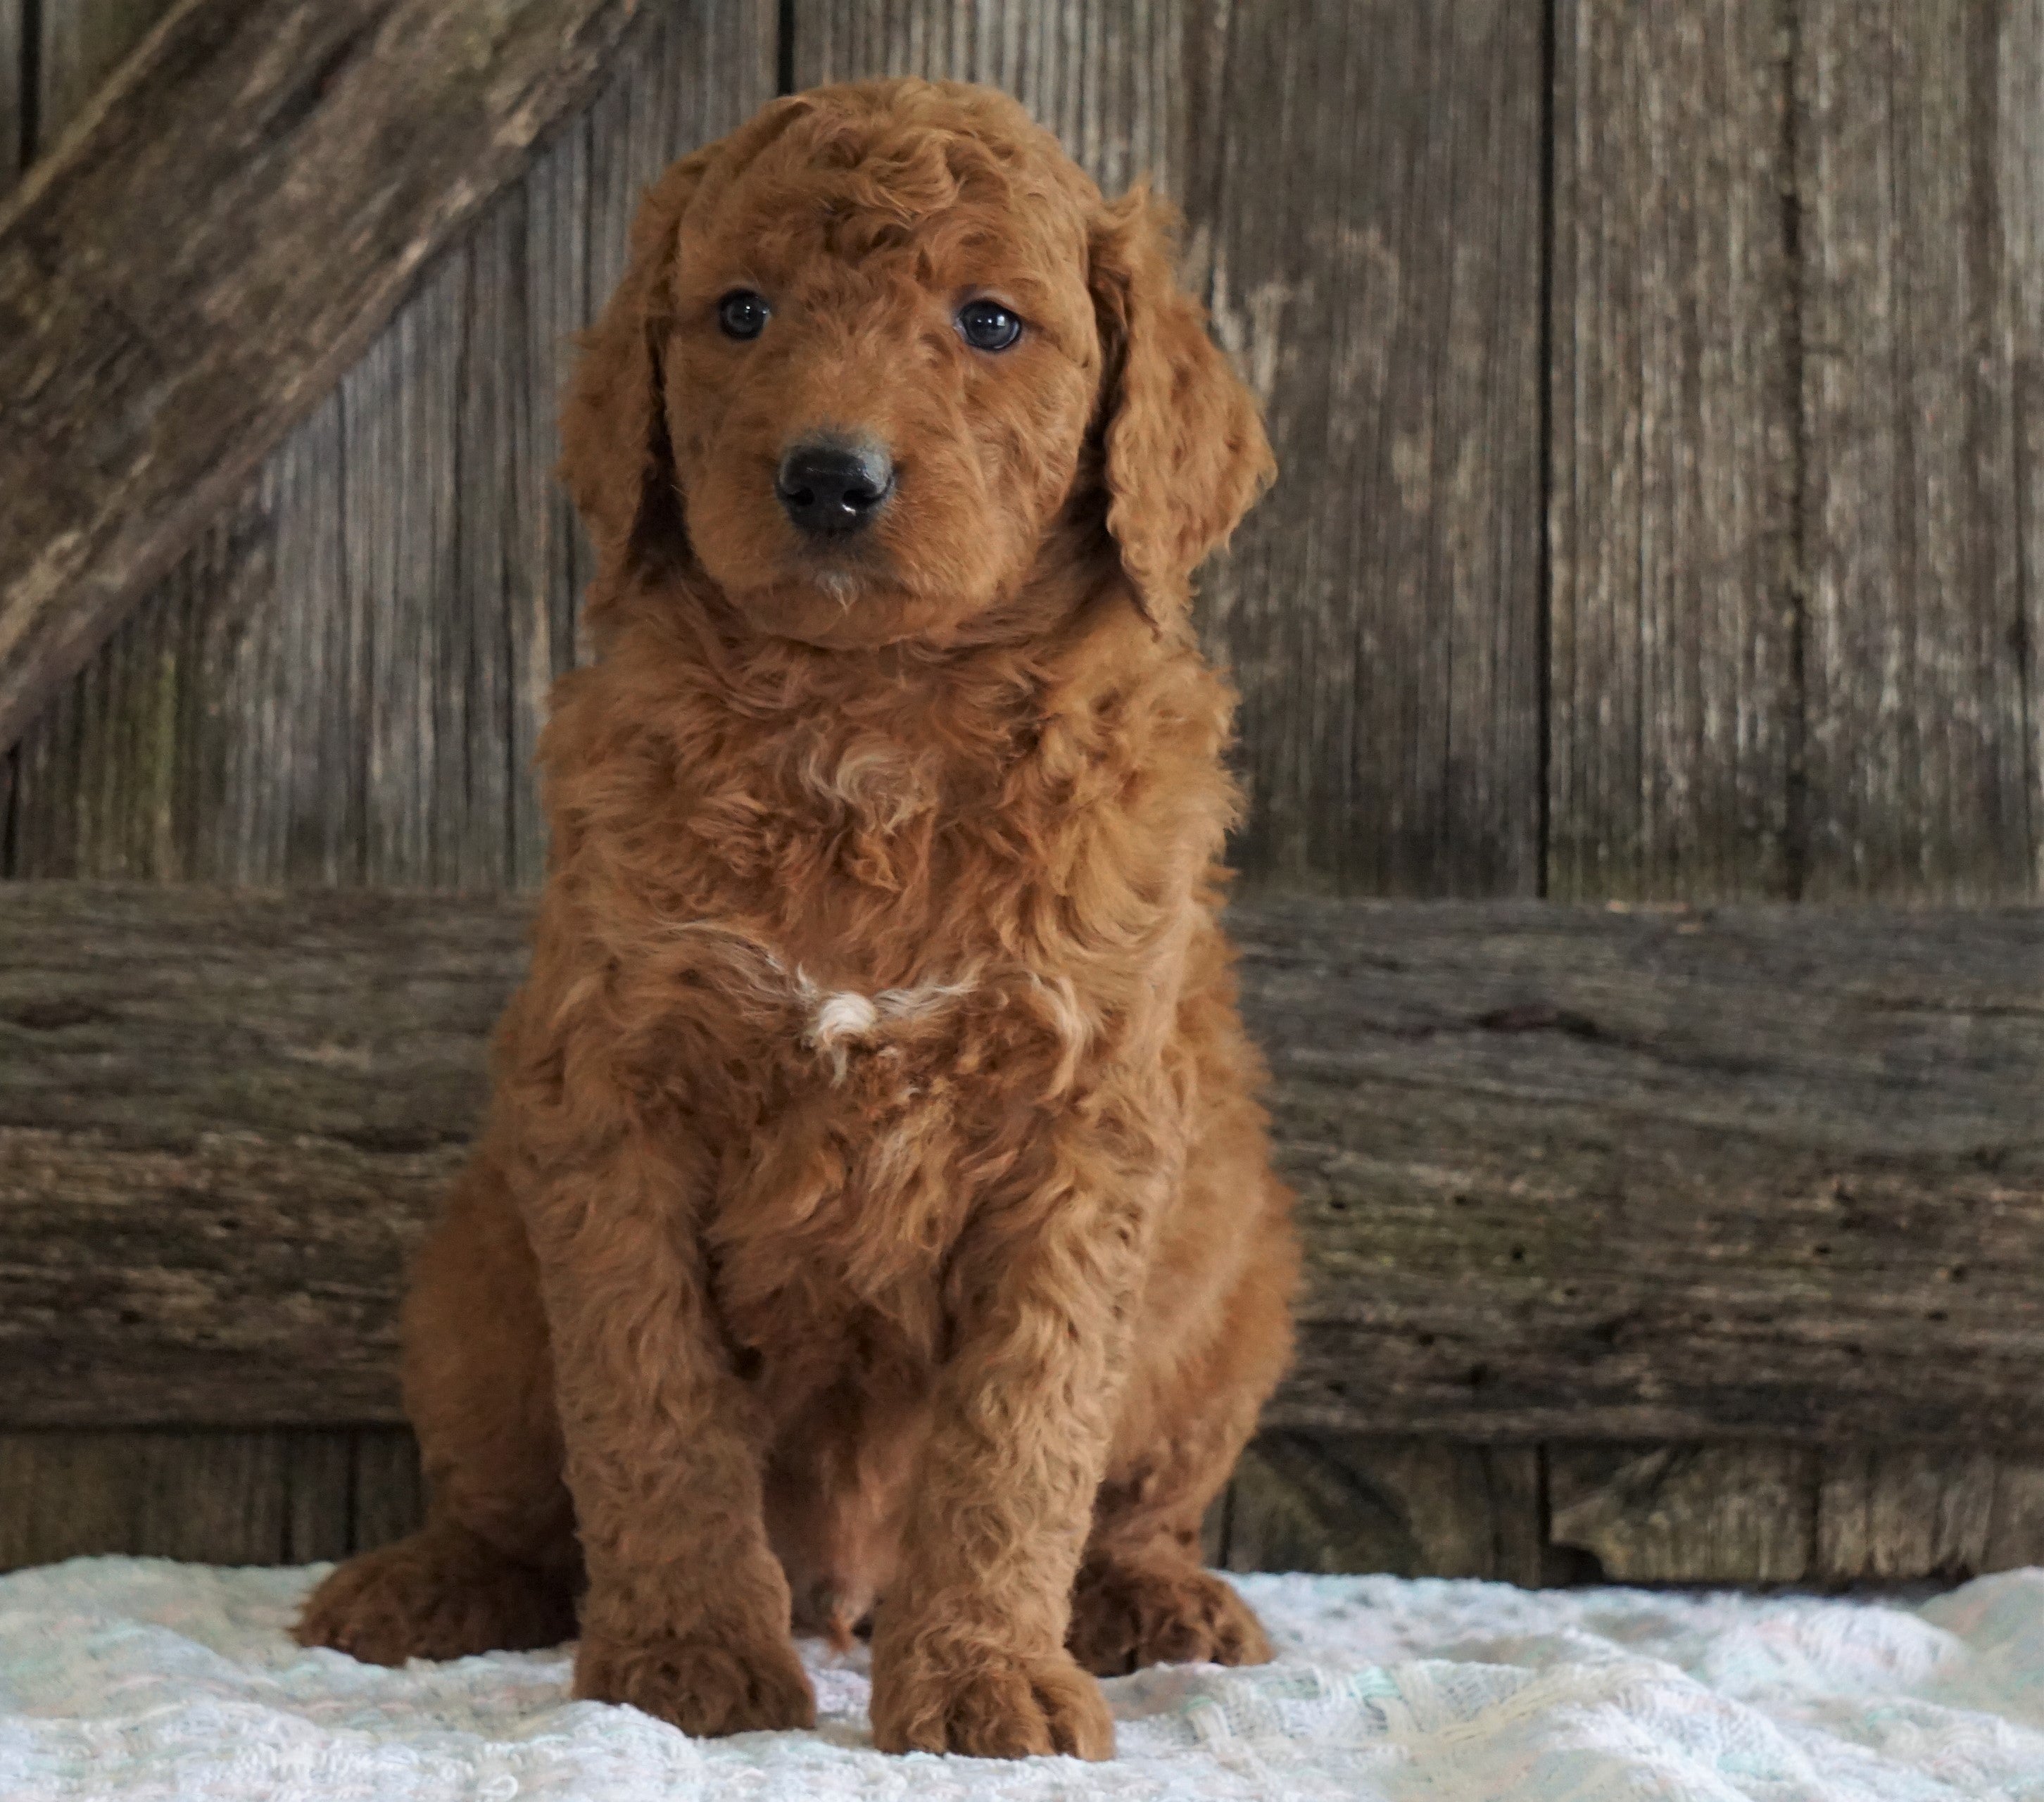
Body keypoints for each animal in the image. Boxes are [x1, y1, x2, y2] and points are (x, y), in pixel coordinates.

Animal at [302, 77, 1292, 1749]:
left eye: (990, 321)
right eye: (742, 313)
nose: (831, 477)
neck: (870, 713)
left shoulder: (1080, 1133)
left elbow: (1019, 1439)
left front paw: (984, 1677)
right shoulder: (614, 1095)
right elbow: (650, 1407)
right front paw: (688, 1659)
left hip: (1234, 1287)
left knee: (1136, 1494)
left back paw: (1151, 1600)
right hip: (472, 1287)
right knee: (519, 1505)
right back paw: (423, 1585)